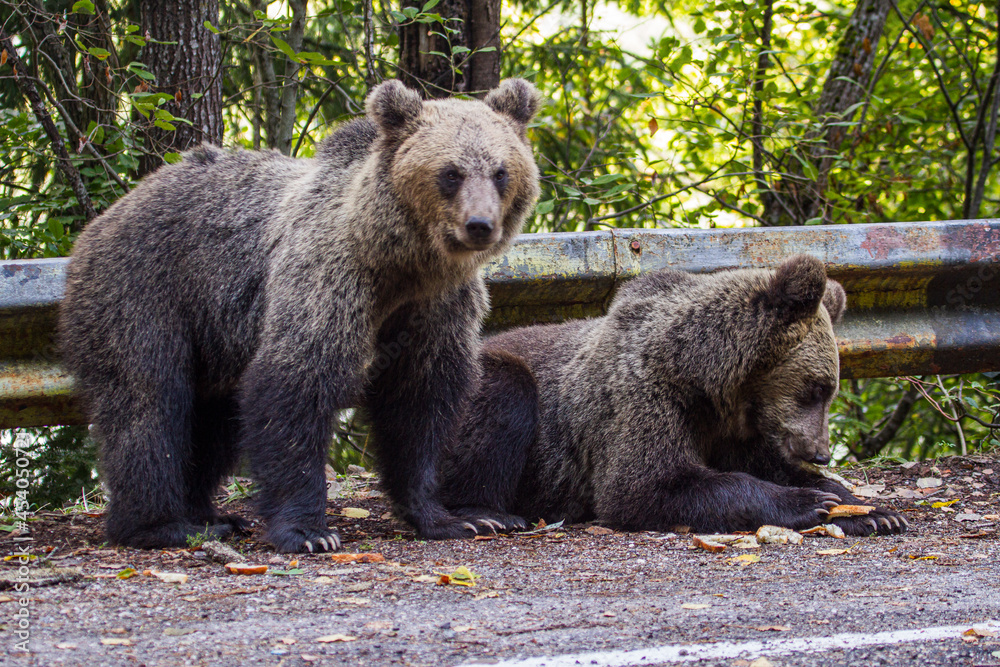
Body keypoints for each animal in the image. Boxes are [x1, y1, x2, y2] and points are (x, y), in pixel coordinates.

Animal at [59, 78, 541, 553]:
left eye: (500, 171)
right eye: (450, 173)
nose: (479, 224)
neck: (399, 264)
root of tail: (104, 218)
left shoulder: (436, 305)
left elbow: (420, 400)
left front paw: (453, 517)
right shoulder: (327, 276)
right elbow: (297, 383)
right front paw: (310, 531)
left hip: (215, 339)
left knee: (213, 419)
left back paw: (211, 515)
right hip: (146, 289)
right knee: (149, 399)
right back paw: (161, 525)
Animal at [440, 255, 909, 537]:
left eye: (829, 391)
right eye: (816, 389)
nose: (821, 452)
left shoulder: (730, 429)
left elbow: (769, 464)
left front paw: (871, 510)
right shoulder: (645, 398)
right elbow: (644, 486)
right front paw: (807, 503)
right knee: (504, 396)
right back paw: (487, 514)